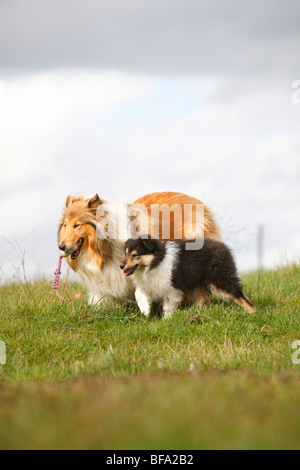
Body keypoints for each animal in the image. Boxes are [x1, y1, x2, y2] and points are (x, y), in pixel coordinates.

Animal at [119, 237, 255, 318]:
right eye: (125, 253)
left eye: (135, 255)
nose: (121, 265)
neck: (156, 262)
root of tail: (223, 247)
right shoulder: (146, 284)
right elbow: (139, 294)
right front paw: (145, 310)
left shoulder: (173, 288)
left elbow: (168, 306)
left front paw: (166, 320)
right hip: (199, 282)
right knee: (202, 298)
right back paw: (194, 312)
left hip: (219, 278)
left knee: (239, 294)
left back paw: (253, 313)